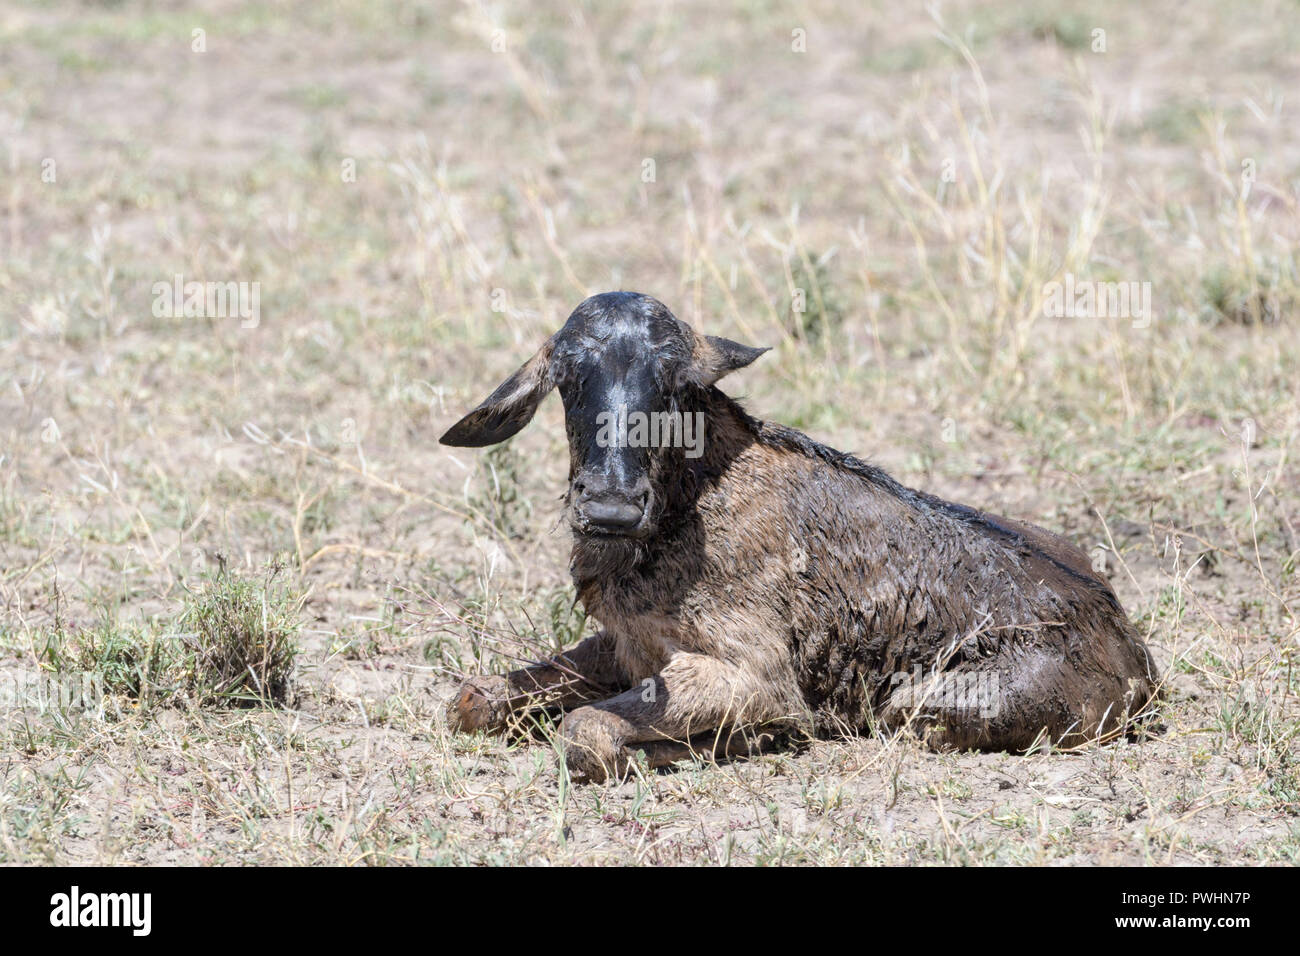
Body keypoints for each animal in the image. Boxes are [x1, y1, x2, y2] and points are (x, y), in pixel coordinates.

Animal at [439, 295, 1159, 780]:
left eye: (674, 383)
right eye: (566, 375)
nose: (610, 507)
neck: (682, 508)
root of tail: (1135, 658)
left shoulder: (753, 678)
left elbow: (585, 730)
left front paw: (749, 741)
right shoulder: (627, 647)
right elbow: (473, 699)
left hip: (918, 704)